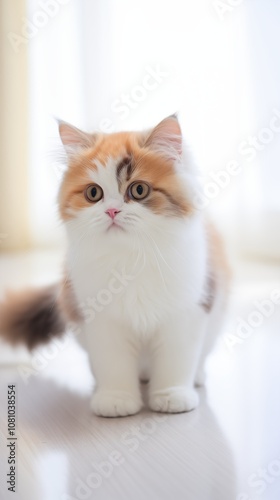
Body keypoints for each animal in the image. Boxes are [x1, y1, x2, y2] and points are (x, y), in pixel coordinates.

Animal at [0, 115, 229, 416]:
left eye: (139, 190)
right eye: (93, 193)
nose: (111, 211)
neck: (130, 259)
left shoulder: (185, 313)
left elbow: (176, 362)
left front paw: (172, 397)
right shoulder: (101, 319)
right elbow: (113, 364)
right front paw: (116, 401)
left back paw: (196, 378)